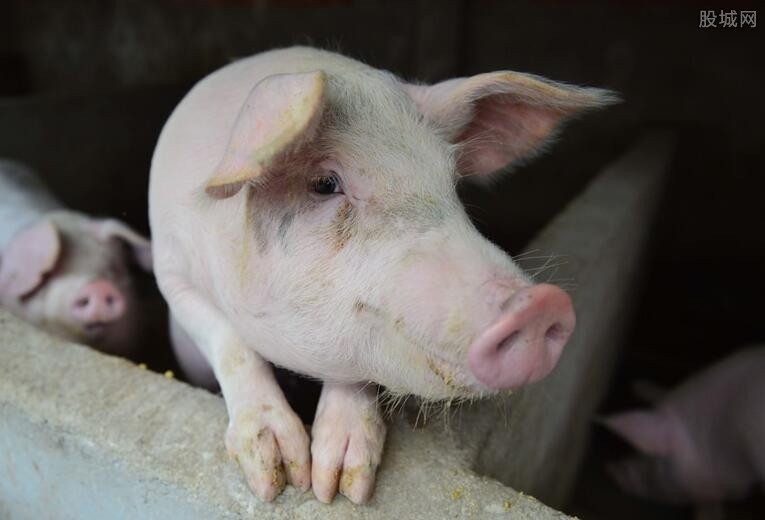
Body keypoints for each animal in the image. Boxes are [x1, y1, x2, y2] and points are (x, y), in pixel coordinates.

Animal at [151, 45, 616, 504]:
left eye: (451, 184)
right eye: (325, 183)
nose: (539, 304)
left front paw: (340, 487)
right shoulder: (170, 272)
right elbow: (228, 341)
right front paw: (281, 479)